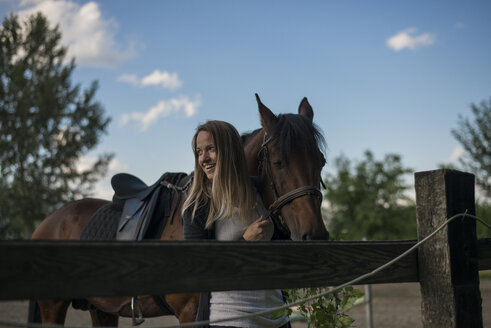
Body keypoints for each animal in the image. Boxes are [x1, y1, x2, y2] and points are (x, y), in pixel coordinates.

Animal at [30, 94, 330, 326]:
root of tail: (48, 220)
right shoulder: (190, 314)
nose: (314, 236)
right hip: (53, 306)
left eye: (321, 161)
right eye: (278, 162)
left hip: (102, 309)